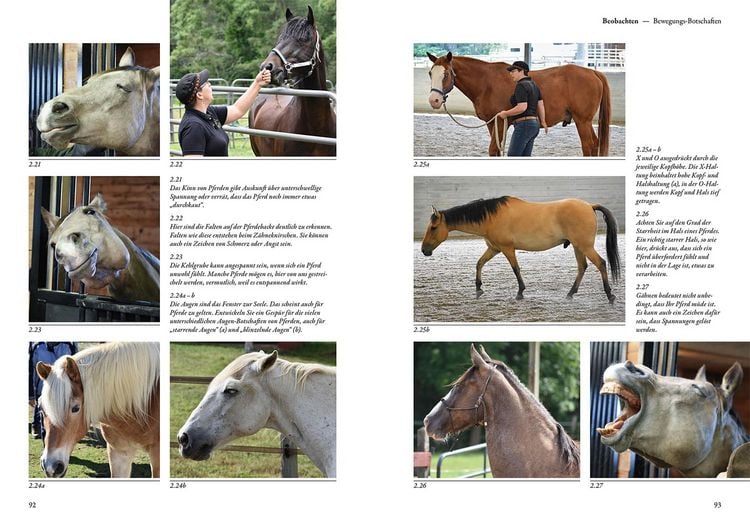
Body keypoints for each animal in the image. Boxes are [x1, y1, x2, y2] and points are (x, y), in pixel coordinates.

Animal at [420, 196, 620, 303]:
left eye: (433, 228)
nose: (424, 250)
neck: (491, 217)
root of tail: (589, 206)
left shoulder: (507, 248)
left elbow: (515, 269)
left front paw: (520, 292)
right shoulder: (494, 249)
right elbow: (479, 263)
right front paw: (478, 288)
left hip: (584, 246)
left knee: (601, 263)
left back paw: (609, 294)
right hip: (578, 247)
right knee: (582, 267)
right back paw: (570, 293)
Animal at [426, 52, 610, 156]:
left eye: (446, 74)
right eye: (430, 73)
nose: (434, 100)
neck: (486, 82)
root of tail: (593, 72)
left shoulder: (500, 121)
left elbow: (494, 149)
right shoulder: (492, 123)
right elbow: (497, 150)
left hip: (582, 121)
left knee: (589, 146)